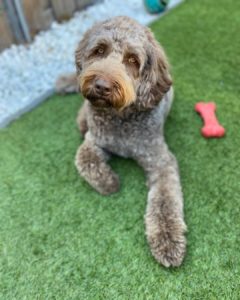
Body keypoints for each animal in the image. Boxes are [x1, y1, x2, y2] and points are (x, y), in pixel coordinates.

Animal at [56, 15, 188, 268]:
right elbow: (84, 159)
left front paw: (167, 239)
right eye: (99, 50)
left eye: (133, 60)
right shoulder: (95, 141)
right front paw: (110, 183)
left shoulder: (159, 160)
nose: (101, 85)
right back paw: (81, 118)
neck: (120, 118)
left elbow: (165, 200)